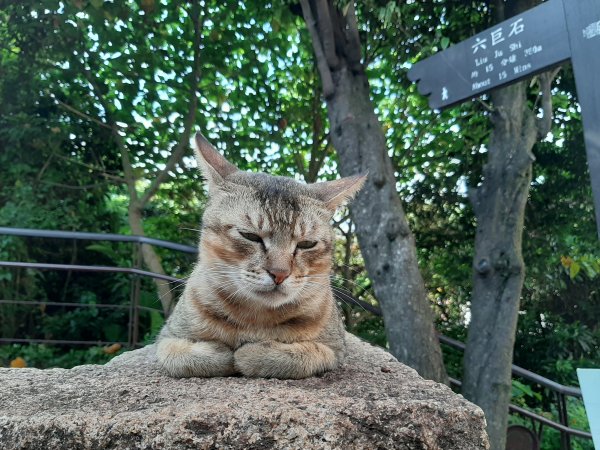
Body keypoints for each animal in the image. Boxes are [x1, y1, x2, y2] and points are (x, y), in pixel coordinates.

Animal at [155, 134, 366, 380]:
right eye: (250, 236)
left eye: (306, 244)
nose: (280, 274)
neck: (254, 319)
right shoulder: (167, 336)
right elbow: (179, 356)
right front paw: (220, 352)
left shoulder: (335, 348)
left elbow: (301, 355)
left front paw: (252, 353)